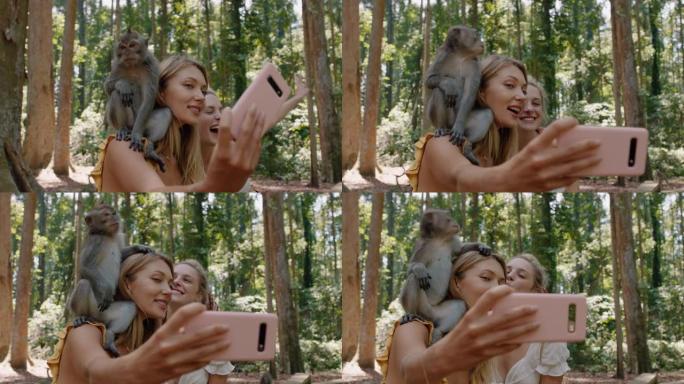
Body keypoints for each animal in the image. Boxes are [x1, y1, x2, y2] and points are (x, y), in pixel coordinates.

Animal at [67, 204, 152, 356]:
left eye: (113, 213)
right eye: (106, 215)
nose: (114, 217)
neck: (107, 235)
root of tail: (96, 319)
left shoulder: (118, 237)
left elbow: (121, 254)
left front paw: (140, 247)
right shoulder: (95, 242)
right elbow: (85, 267)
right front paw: (107, 292)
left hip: (105, 314)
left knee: (130, 307)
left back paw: (110, 336)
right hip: (94, 306)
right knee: (84, 283)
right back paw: (80, 316)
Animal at [106, 29, 174, 172]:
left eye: (132, 45)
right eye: (122, 47)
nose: (127, 52)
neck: (133, 65)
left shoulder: (151, 66)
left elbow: (149, 98)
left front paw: (137, 135)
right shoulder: (116, 65)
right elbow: (108, 87)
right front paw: (123, 84)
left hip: (143, 124)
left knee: (166, 112)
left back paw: (150, 145)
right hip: (128, 122)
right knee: (116, 94)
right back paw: (122, 129)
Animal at [400, 208, 492, 344]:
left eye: (450, 217)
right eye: (448, 219)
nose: (455, 223)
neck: (440, 240)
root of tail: (429, 317)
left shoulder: (452, 240)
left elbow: (461, 250)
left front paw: (481, 246)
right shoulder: (423, 245)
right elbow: (411, 267)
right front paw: (419, 269)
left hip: (436, 313)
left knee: (458, 305)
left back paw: (439, 331)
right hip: (422, 308)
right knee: (413, 279)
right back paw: (410, 313)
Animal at [424, 24, 494, 166]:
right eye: (475, 36)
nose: (482, 43)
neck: (460, 56)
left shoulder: (473, 64)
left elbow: (469, 94)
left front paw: (460, 128)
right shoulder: (442, 55)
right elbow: (429, 79)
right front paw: (449, 84)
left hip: (460, 123)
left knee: (486, 114)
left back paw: (467, 145)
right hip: (440, 121)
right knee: (439, 91)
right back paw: (441, 128)